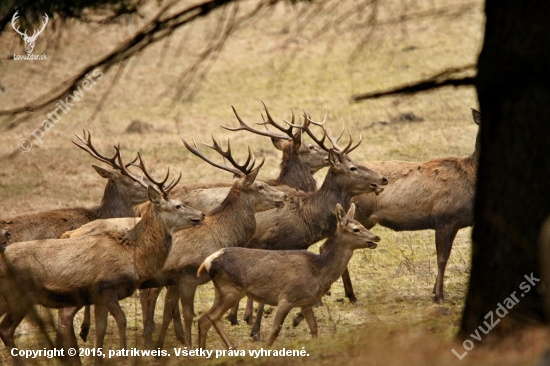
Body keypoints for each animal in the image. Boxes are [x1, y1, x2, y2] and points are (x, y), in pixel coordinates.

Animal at [0, 147, 206, 364]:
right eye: (177, 205)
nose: (201, 214)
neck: (135, 254)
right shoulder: (106, 287)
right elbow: (121, 320)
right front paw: (124, 357)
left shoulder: (97, 296)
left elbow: (102, 327)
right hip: (20, 295)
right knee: (7, 330)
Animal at [196, 203, 382, 348]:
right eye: (356, 229)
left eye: (362, 224)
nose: (376, 237)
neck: (318, 270)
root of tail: (208, 261)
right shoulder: (286, 297)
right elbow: (275, 330)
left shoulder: (306, 302)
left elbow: (314, 327)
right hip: (232, 290)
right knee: (211, 317)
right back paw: (230, 347)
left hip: (221, 292)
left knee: (203, 319)